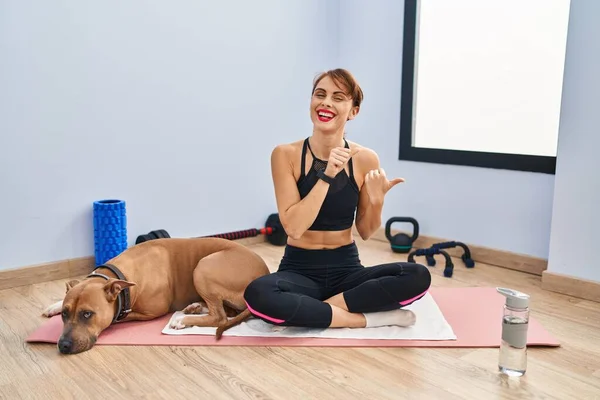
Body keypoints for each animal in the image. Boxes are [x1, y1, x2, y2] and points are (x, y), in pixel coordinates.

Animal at [40, 238, 270, 354]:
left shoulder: (148, 312)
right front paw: (55, 305)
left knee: (220, 317)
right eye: (65, 314)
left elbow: (119, 317)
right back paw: (195, 307)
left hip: (203, 266)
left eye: (87, 314)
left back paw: (182, 320)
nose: (63, 345)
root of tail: (264, 271)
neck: (120, 274)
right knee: (225, 311)